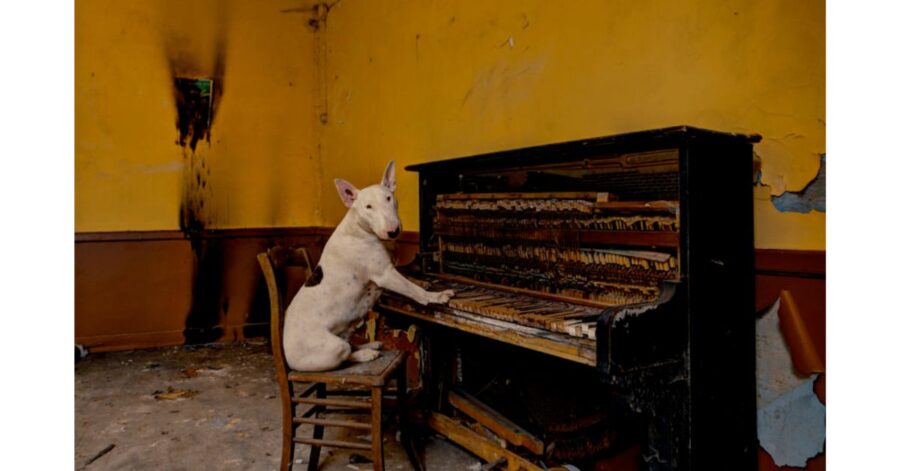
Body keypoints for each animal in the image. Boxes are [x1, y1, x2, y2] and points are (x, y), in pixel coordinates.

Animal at [284, 162, 454, 372]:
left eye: (388, 198)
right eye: (368, 207)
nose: (393, 231)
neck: (360, 227)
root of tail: (286, 360)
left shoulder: (392, 269)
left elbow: (410, 278)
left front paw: (425, 282)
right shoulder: (385, 275)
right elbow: (413, 290)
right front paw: (435, 297)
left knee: (350, 345)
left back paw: (369, 345)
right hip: (333, 347)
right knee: (346, 355)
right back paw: (366, 354)